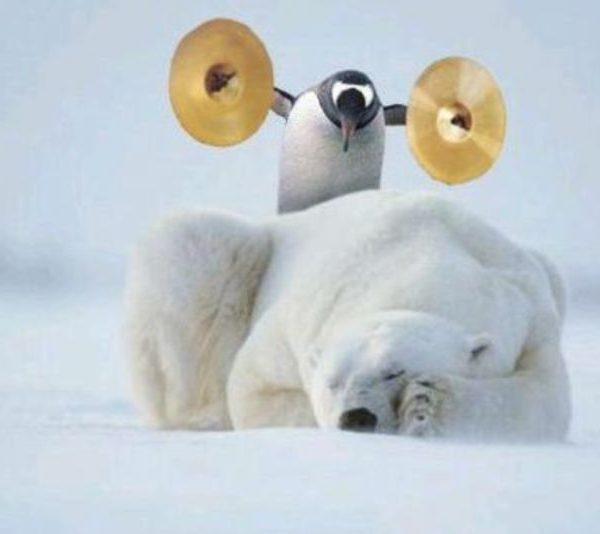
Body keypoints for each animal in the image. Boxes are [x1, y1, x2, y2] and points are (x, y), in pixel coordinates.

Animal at [124, 191, 568, 442]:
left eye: (395, 372)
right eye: (332, 382)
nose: (357, 417)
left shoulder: (530, 313)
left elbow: (541, 399)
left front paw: (425, 404)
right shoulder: (296, 319)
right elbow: (253, 389)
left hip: (551, 273)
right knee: (189, 241)